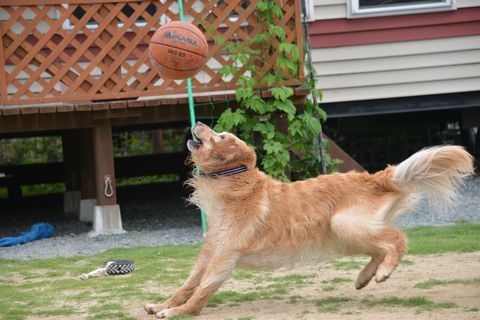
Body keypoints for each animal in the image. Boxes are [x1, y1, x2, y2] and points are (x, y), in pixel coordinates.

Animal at [144, 120, 474, 318]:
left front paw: (178, 312)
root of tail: (372, 177)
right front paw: (162, 305)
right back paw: (364, 277)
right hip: (343, 234)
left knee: (397, 241)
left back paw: (382, 273)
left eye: (222, 135)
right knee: (380, 248)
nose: (198, 122)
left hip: (346, 226)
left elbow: (201, 290)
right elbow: (187, 285)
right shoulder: (210, 252)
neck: (232, 185)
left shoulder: (225, 256)